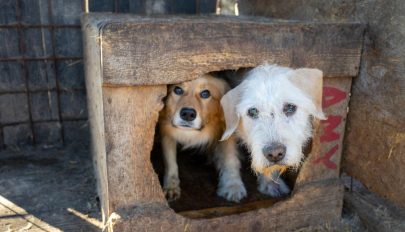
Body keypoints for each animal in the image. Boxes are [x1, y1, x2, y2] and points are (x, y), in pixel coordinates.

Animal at [158, 75, 246, 203]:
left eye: (205, 94)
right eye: (177, 90)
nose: (188, 114)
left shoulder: (226, 129)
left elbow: (230, 158)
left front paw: (233, 185)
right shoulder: (166, 130)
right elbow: (170, 162)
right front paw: (171, 186)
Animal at [219, 64, 324, 197]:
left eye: (290, 107)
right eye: (252, 111)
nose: (274, 153)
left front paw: (271, 183)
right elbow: (229, 156)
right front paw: (232, 186)